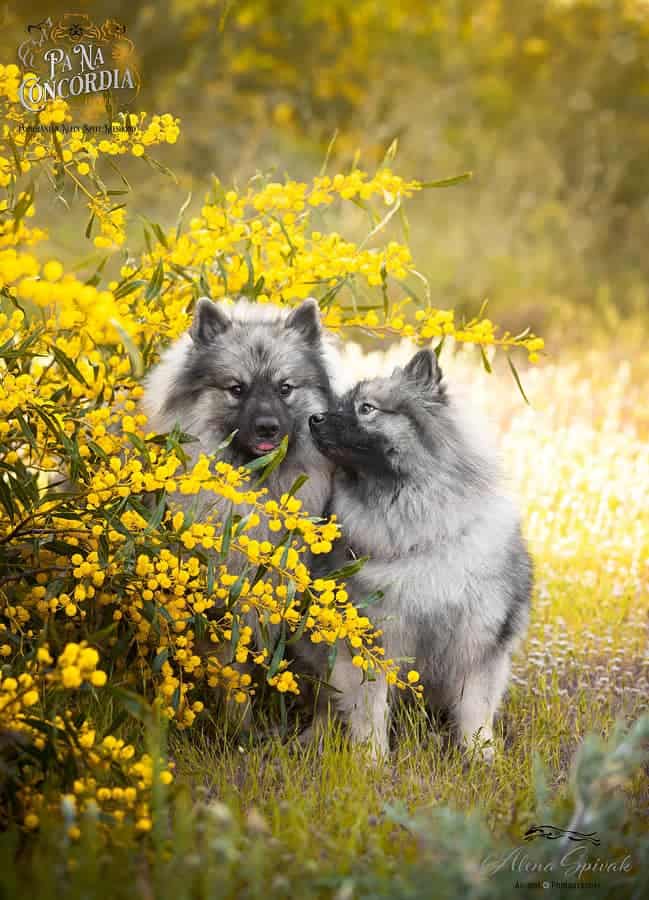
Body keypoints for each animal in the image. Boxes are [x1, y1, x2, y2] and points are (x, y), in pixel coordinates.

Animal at [308, 348, 532, 756]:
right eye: (338, 405)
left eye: (367, 408)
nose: (313, 418)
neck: (419, 534)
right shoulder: (371, 641)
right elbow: (370, 710)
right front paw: (371, 759)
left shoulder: (477, 643)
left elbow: (475, 708)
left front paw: (480, 755)